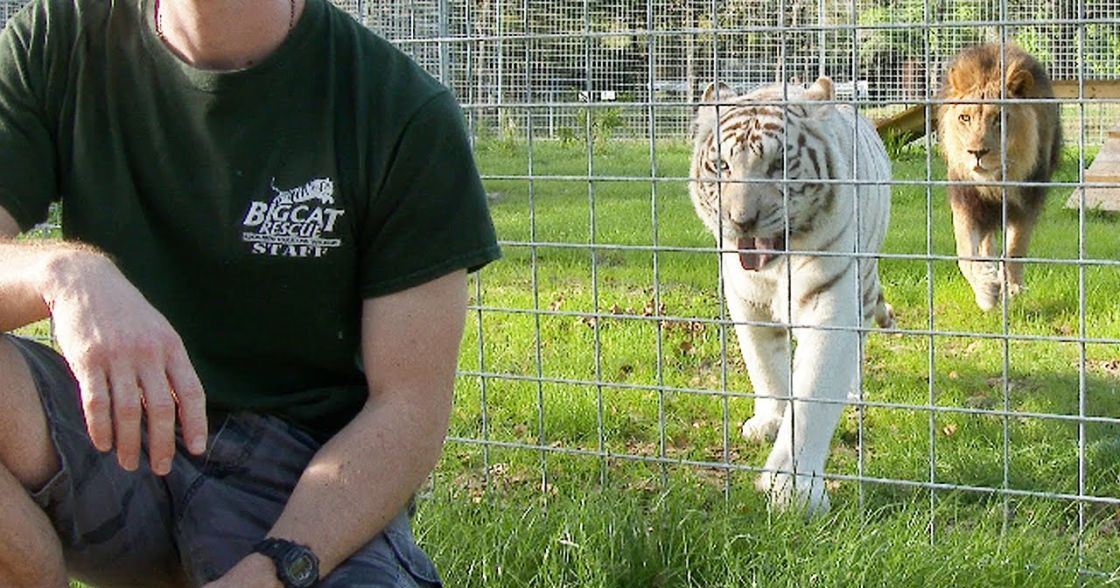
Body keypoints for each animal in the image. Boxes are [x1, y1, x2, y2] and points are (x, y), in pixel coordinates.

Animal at [689, 76, 893, 514]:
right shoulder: (745, 300)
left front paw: (794, 490)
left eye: (778, 165)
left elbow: (814, 392)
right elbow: (763, 365)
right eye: (722, 166)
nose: (740, 221)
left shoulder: (833, 301)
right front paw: (770, 420)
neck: (776, 267)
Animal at [937, 43, 1062, 311]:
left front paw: (1012, 288)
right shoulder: (967, 203)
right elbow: (965, 255)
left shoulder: (1027, 202)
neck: (994, 181)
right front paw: (986, 289)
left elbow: (1014, 249)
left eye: (998, 119)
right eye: (965, 118)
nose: (976, 152)